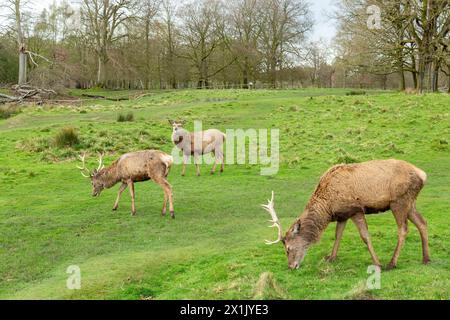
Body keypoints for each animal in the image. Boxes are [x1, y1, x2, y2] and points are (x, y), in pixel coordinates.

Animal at [262, 160, 430, 270]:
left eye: (288, 248)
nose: (291, 266)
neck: (328, 208)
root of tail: (423, 175)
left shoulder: (355, 209)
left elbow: (365, 236)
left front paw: (377, 263)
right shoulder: (343, 214)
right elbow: (338, 235)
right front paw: (331, 258)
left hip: (399, 201)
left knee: (403, 229)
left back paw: (391, 263)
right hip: (410, 203)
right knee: (422, 222)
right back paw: (426, 258)